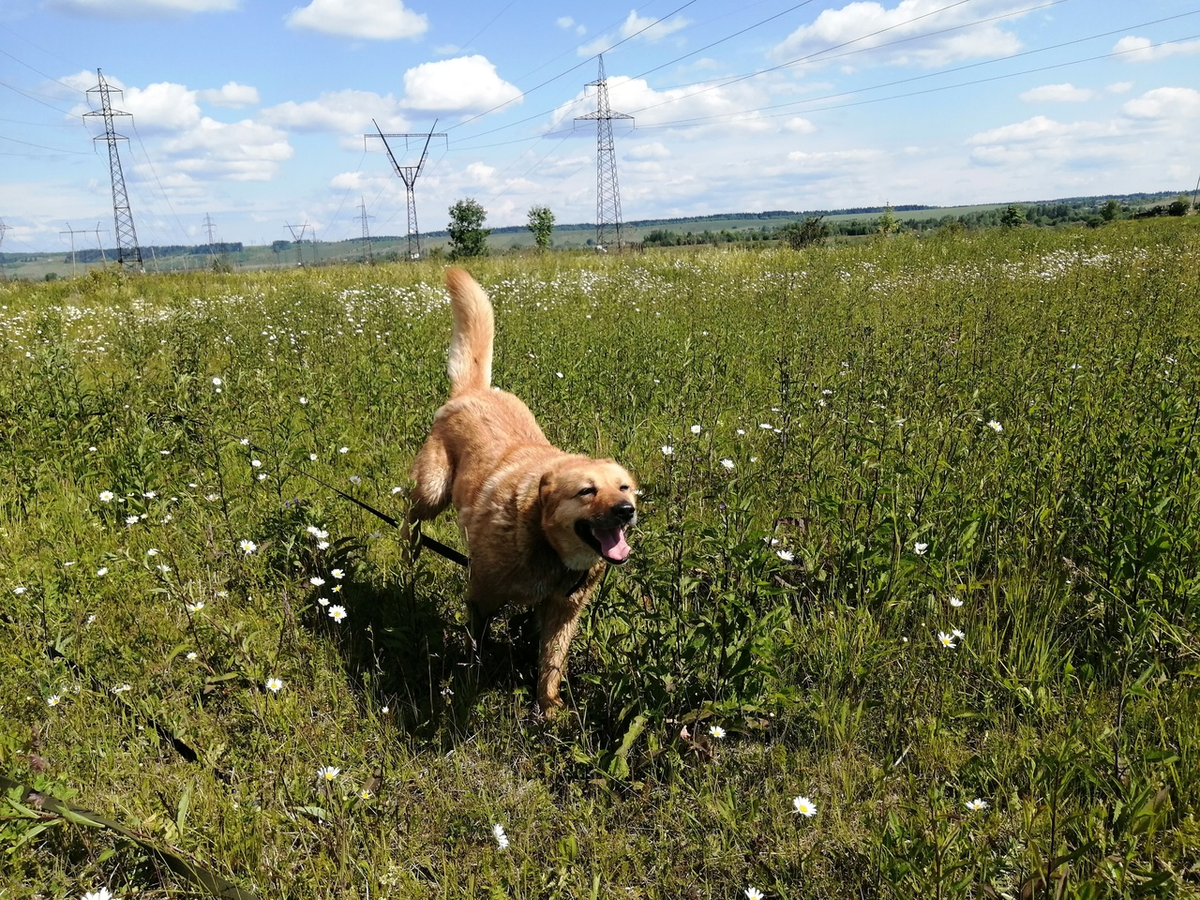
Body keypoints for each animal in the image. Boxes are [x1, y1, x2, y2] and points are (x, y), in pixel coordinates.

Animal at [408, 267, 638, 720]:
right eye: (586, 491)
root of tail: (474, 391)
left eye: (624, 488)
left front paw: (548, 709)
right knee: (410, 511)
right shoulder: (481, 597)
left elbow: (551, 665)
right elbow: (477, 649)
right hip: (432, 491)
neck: (545, 543)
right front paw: (473, 681)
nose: (625, 511)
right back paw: (408, 543)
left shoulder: (563, 613)